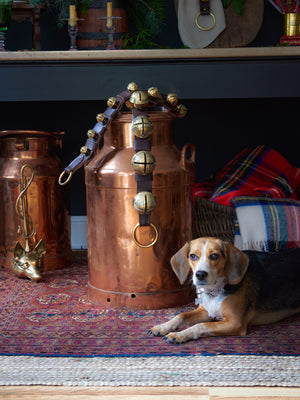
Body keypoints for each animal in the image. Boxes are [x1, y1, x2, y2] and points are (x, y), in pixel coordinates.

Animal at [148, 238, 300, 344]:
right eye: (193, 256)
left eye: (214, 256)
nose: (200, 274)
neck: (215, 291)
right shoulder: (205, 312)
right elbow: (181, 315)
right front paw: (163, 327)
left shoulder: (235, 323)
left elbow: (200, 326)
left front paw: (179, 335)